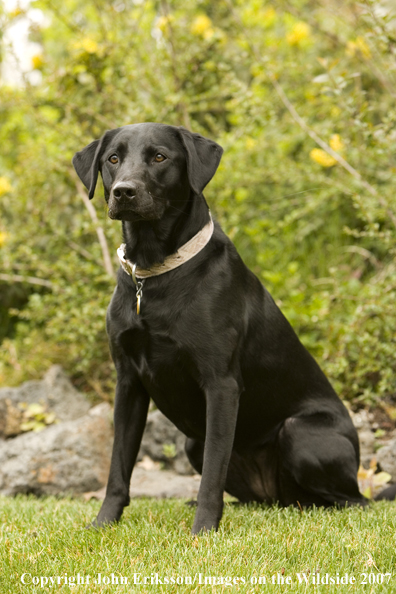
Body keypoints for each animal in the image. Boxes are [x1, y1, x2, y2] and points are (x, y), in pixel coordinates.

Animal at [73, 121, 392, 532]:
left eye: (159, 157)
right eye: (113, 159)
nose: (123, 191)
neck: (153, 274)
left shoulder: (221, 384)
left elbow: (213, 469)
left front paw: (203, 530)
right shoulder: (128, 383)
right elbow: (118, 467)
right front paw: (103, 524)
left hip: (301, 433)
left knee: (352, 501)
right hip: (194, 442)